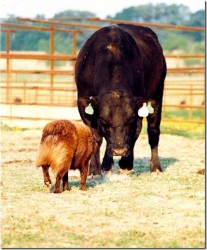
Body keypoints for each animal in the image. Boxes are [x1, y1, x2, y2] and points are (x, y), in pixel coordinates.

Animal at [74, 24, 167, 175]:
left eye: (130, 120)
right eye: (103, 121)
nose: (119, 150)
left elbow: (135, 133)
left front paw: (125, 165)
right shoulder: (83, 104)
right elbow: (96, 137)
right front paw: (94, 170)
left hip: (157, 93)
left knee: (153, 131)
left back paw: (155, 167)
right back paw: (106, 165)